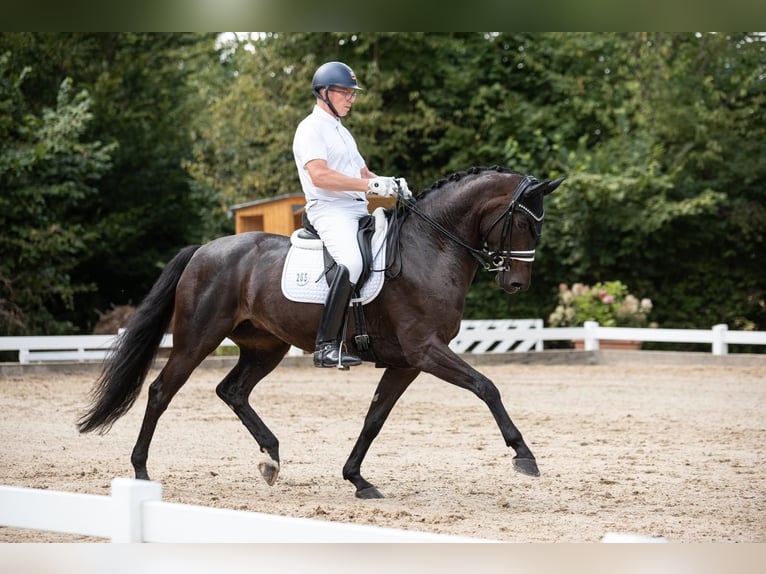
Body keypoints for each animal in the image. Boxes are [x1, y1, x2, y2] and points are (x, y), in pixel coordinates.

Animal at [79, 165, 564, 500]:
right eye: (525, 223)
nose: (516, 284)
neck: (430, 248)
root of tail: (203, 250)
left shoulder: (408, 362)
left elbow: (374, 418)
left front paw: (358, 479)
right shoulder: (426, 350)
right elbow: (486, 387)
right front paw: (524, 456)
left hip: (265, 346)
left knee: (232, 390)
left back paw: (271, 458)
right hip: (197, 337)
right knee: (161, 391)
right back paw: (141, 471)